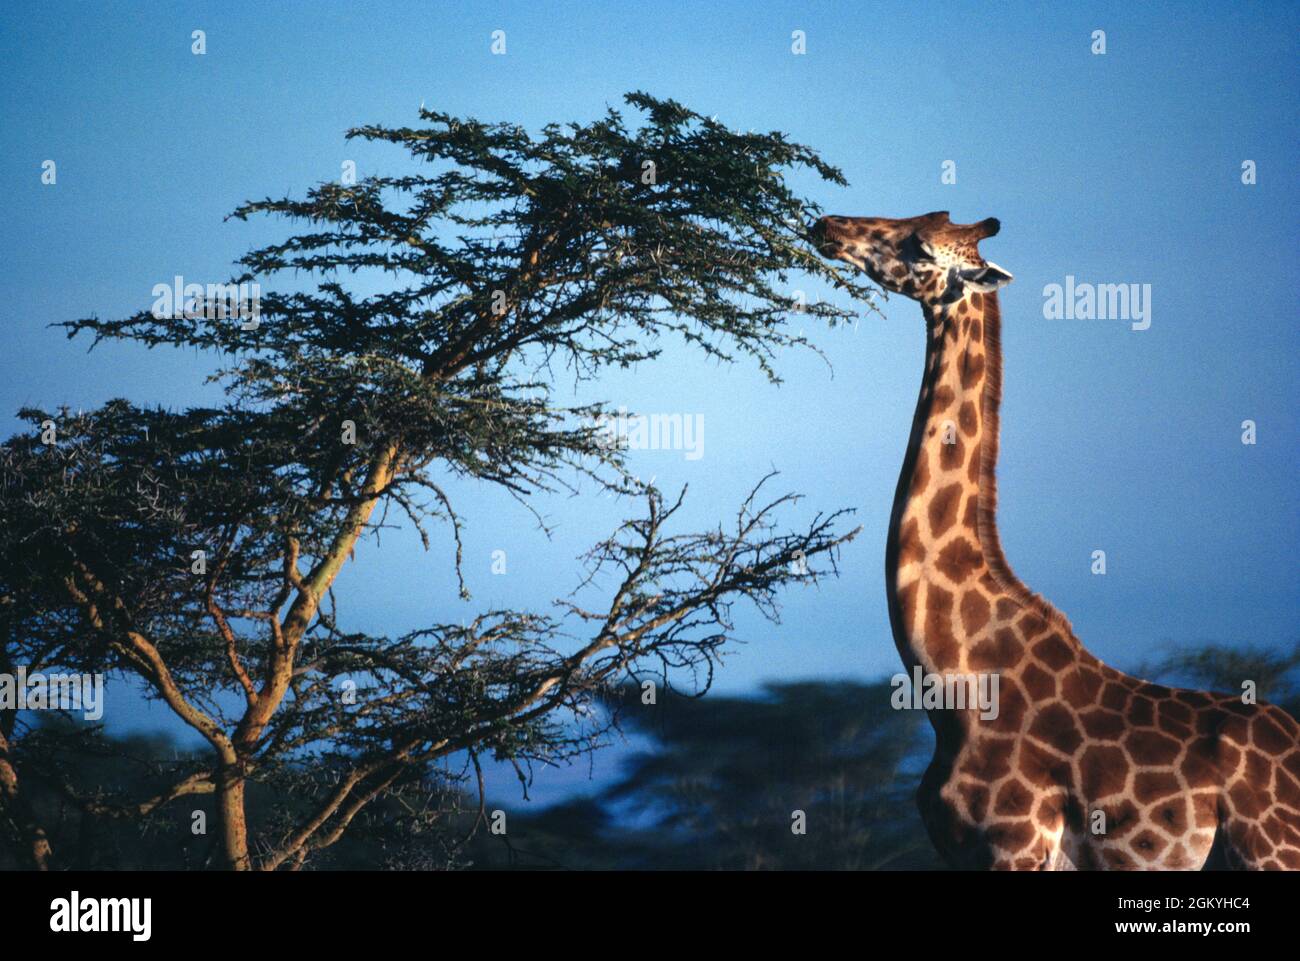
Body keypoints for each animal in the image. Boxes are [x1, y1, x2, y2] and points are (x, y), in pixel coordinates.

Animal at [811, 210, 1300, 873]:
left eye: (919, 246)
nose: (827, 225)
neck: (953, 684)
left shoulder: (1013, 843)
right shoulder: (960, 851)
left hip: (1271, 851)